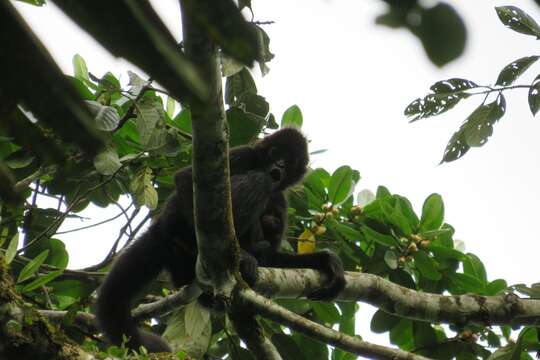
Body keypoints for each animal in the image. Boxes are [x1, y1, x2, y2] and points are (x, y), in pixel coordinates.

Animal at [96, 128, 346, 352]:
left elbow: (271, 255)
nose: (279, 165)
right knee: (259, 181)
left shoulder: (282, 200)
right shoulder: (242, 154)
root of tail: (162, 228)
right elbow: (184, 179)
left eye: (290, 161)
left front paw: (326, 260)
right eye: (276, 152)